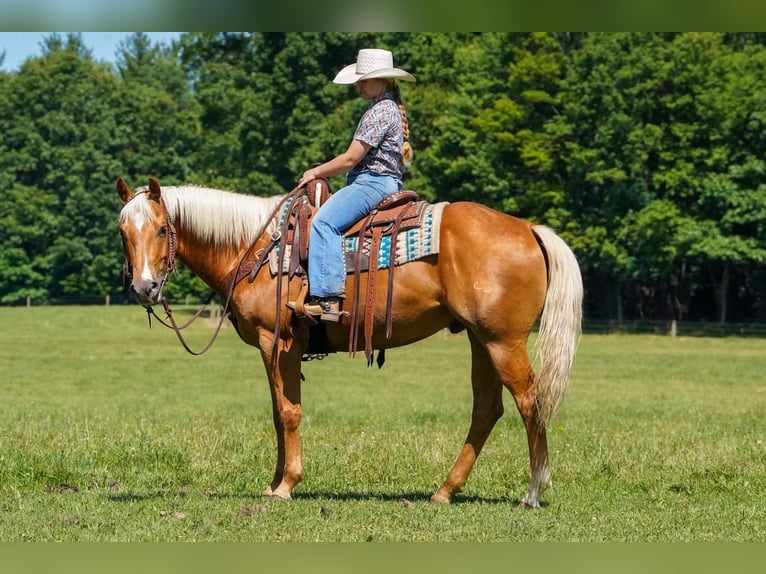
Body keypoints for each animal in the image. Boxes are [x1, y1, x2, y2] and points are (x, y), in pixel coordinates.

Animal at [116, 176, 582, 508]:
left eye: (162, 229)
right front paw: (273, 483)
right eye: (123, 231)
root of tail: (527, 228)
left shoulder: (279, 343)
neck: (256, 248)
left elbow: (288, 413)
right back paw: (445, 491)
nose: (144, 287)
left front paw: (287, 485)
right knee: (487, 409)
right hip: (479, 339)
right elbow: (277, 414)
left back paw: (533, 492)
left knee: (530, 401)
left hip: (503, 341)